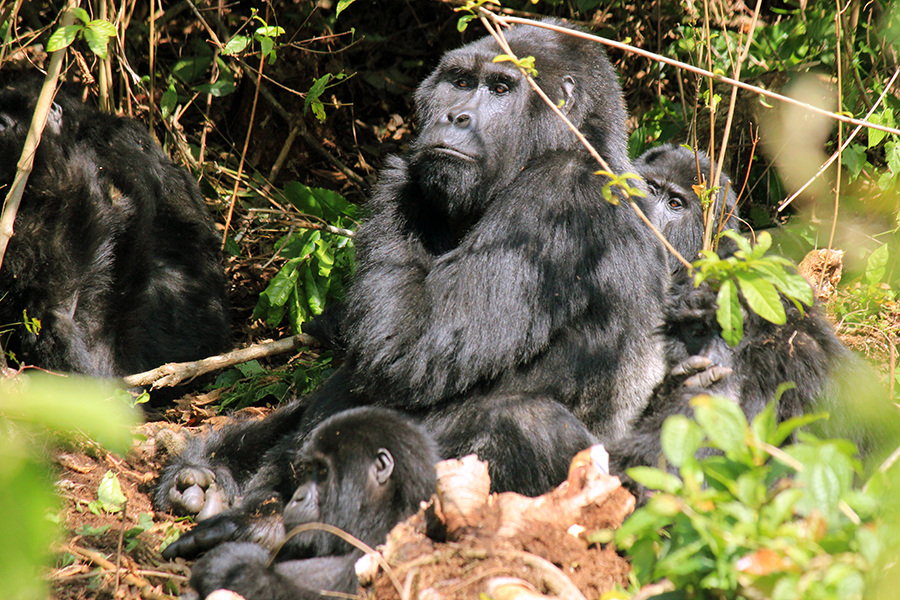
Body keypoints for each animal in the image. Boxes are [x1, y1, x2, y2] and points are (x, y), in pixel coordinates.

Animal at [156, 19, 668, 540]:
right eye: (461, 82)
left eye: (501, 89)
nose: (455, 117)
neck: (582, 143)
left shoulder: (559, 194)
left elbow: (408, 344)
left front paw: (405, 175)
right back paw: (209, 479)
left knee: (527, 424)